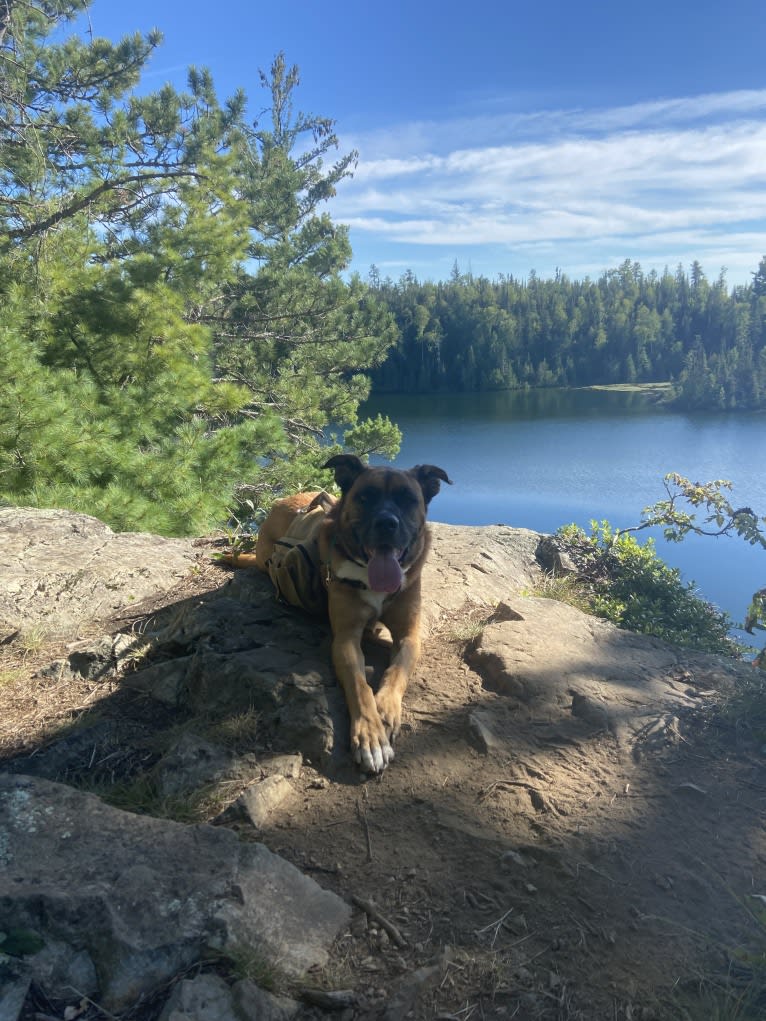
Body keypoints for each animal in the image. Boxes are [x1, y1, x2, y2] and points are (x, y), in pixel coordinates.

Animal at [255, 457, 453, 771]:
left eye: (407, 499)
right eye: (366, 497)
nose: (386, 523)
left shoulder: (409, 635)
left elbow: (397, 671)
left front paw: (386, 708)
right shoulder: (346, 639)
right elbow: (359, 686)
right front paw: (371, 738)